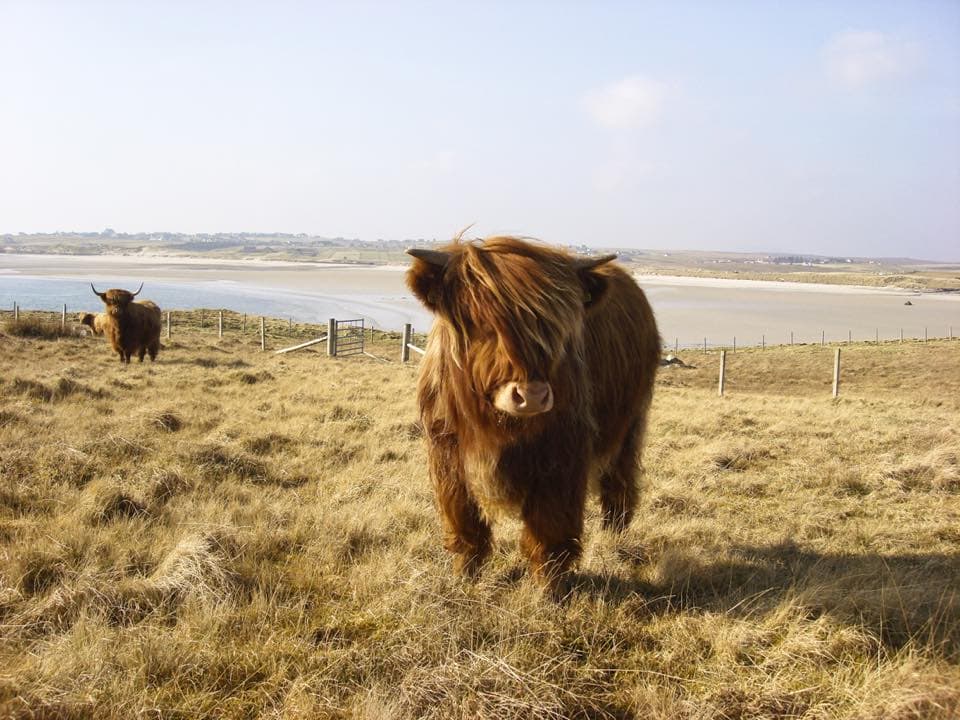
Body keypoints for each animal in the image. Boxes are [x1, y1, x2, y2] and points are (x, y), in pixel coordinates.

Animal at [404, 238, 660, 596]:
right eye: (480, 320)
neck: (496, 425)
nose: (533, 396)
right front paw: (464, 577)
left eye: (555, 328)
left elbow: (549, 528)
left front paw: (547, 591)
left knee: (619, 484)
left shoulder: (562, 456)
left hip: (630, 425)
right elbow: (465, 521)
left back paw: (614, 536)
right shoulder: (447, 454)